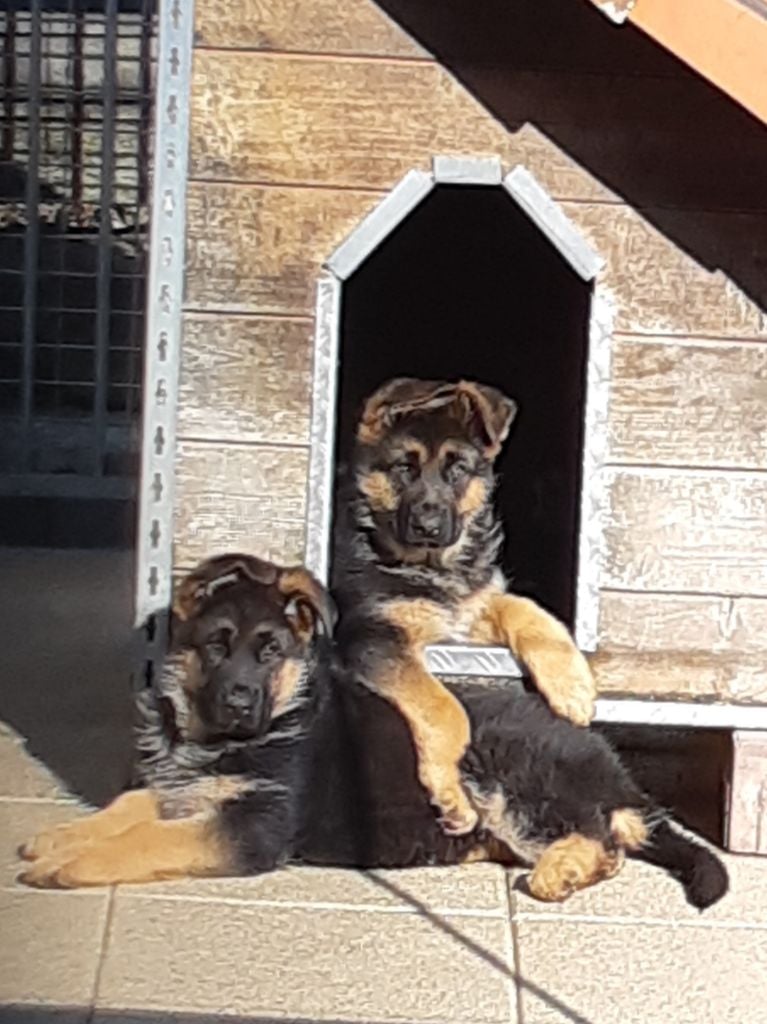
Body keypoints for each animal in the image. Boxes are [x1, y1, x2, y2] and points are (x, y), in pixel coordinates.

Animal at [20, 557, 729, 909]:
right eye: (217, 645)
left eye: (270, 651)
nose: (239, 699)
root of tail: (616, 774)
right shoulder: (181, 791)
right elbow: (126, 807)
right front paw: (58, 839)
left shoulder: (251, 828)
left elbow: (147, 840)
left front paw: (68, 866)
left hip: (515, 778)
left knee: (603, 844)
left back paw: (558, 874)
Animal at [331, 380, 593, 835]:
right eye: (404, 468)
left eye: (458, 469)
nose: (428, 527)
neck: (433, 568)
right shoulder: (374, 636)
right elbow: (444, 708)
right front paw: (451, 793)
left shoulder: (468, 614)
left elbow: (524, 609)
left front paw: (571, 685)